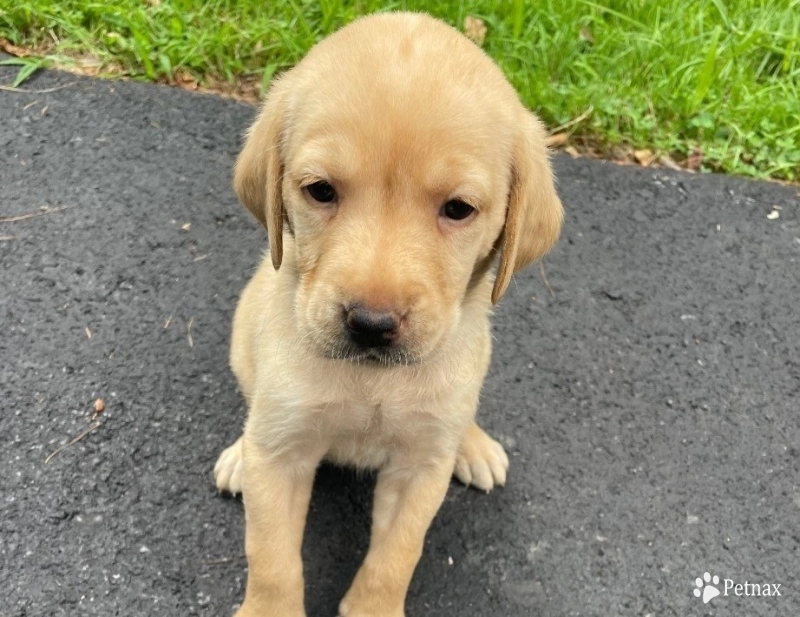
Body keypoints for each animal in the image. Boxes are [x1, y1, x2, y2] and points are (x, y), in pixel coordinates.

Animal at [212, 10, 564, 616]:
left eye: (458, 209)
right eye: (320, 191)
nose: (371, 325)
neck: (372, 381)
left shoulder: (419, 470)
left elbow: (396, 556)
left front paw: (373, 606)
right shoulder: (282, 454)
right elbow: (272, 558)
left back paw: (473, 444)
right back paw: (239, 453)